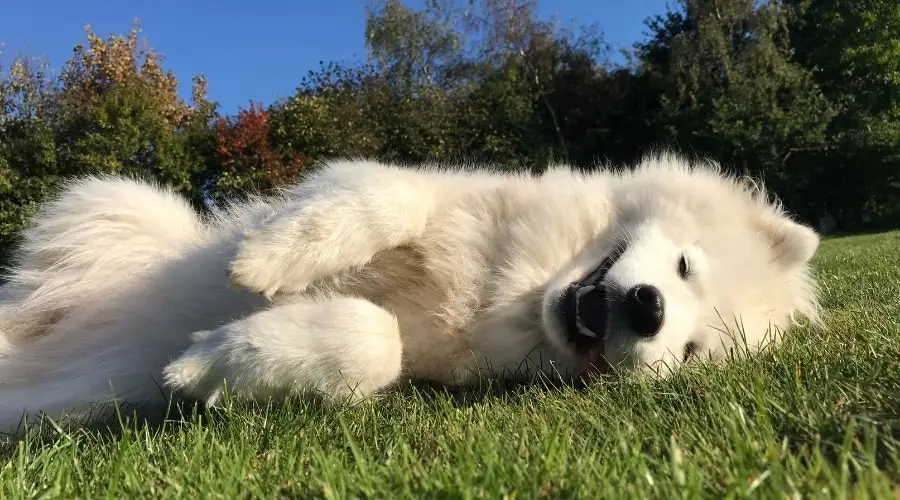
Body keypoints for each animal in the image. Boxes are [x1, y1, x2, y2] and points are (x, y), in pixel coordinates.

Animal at [0, 155, 820, 434]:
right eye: (684, 267)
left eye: (690, 352)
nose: (650, 311)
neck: (504, 292)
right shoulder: (421, 190)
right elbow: (385, 193)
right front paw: (275, 257)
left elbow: (374, 340)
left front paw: (220, 358)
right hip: (118, 205)